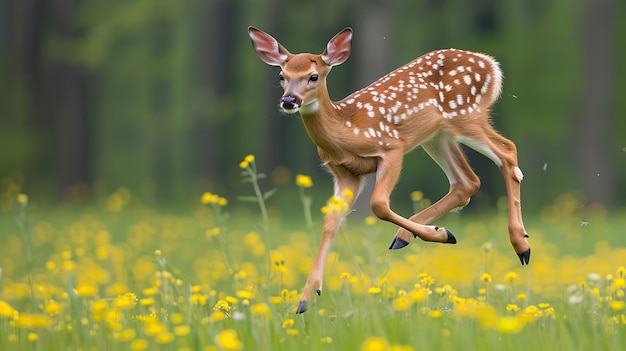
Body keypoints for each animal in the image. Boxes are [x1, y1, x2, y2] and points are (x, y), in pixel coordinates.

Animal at [246, 26, 528, 314]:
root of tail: (491, 63)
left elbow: (379, 204)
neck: (346, 131)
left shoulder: (391, 147)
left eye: (313, 76)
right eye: (282, 75)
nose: (289, 100)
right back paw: (407, 236)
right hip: (437, 135)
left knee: (507, 151)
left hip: (465, 115)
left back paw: (521, 245)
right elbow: (330, 223)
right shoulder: (346, 174)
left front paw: (442, 234)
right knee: (467, 182)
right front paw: (306, 298)